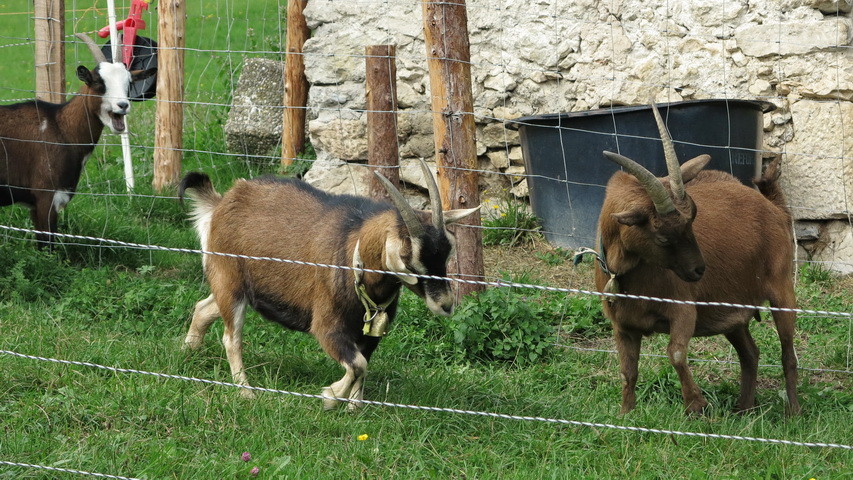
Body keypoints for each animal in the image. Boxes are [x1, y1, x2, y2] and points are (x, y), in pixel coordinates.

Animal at [0, 32, 156, 248]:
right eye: (99, 83)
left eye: (129, 84)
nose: (123, 105)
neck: (60, 127)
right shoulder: (46, 195)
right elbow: (47, 246)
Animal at [179, 161, 480, 408]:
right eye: (408, 259)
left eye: (448, 252)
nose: (445, 305)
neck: (351, 253)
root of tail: (223, 202)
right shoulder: (327, 326)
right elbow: (357, 364)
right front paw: (331, 396)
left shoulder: (371, 333)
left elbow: (364, 365)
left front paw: (355, 406)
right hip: (229, 278)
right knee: (231, 337)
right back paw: (245, 390)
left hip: (241, 288)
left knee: (204, 308)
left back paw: (188, 352)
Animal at [592, 102, 800, 416]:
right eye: (663, 238)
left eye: (692, 222)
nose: (698, 270)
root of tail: (773, 206)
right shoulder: (623, 325)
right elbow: (628, 372)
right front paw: (625, 414)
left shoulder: (683, 309)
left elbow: (676, 353)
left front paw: (696, 405)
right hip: (732, 310)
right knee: (750, 352)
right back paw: (744, 408)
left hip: (781, 287)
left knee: (788, 352)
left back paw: (793, 413)